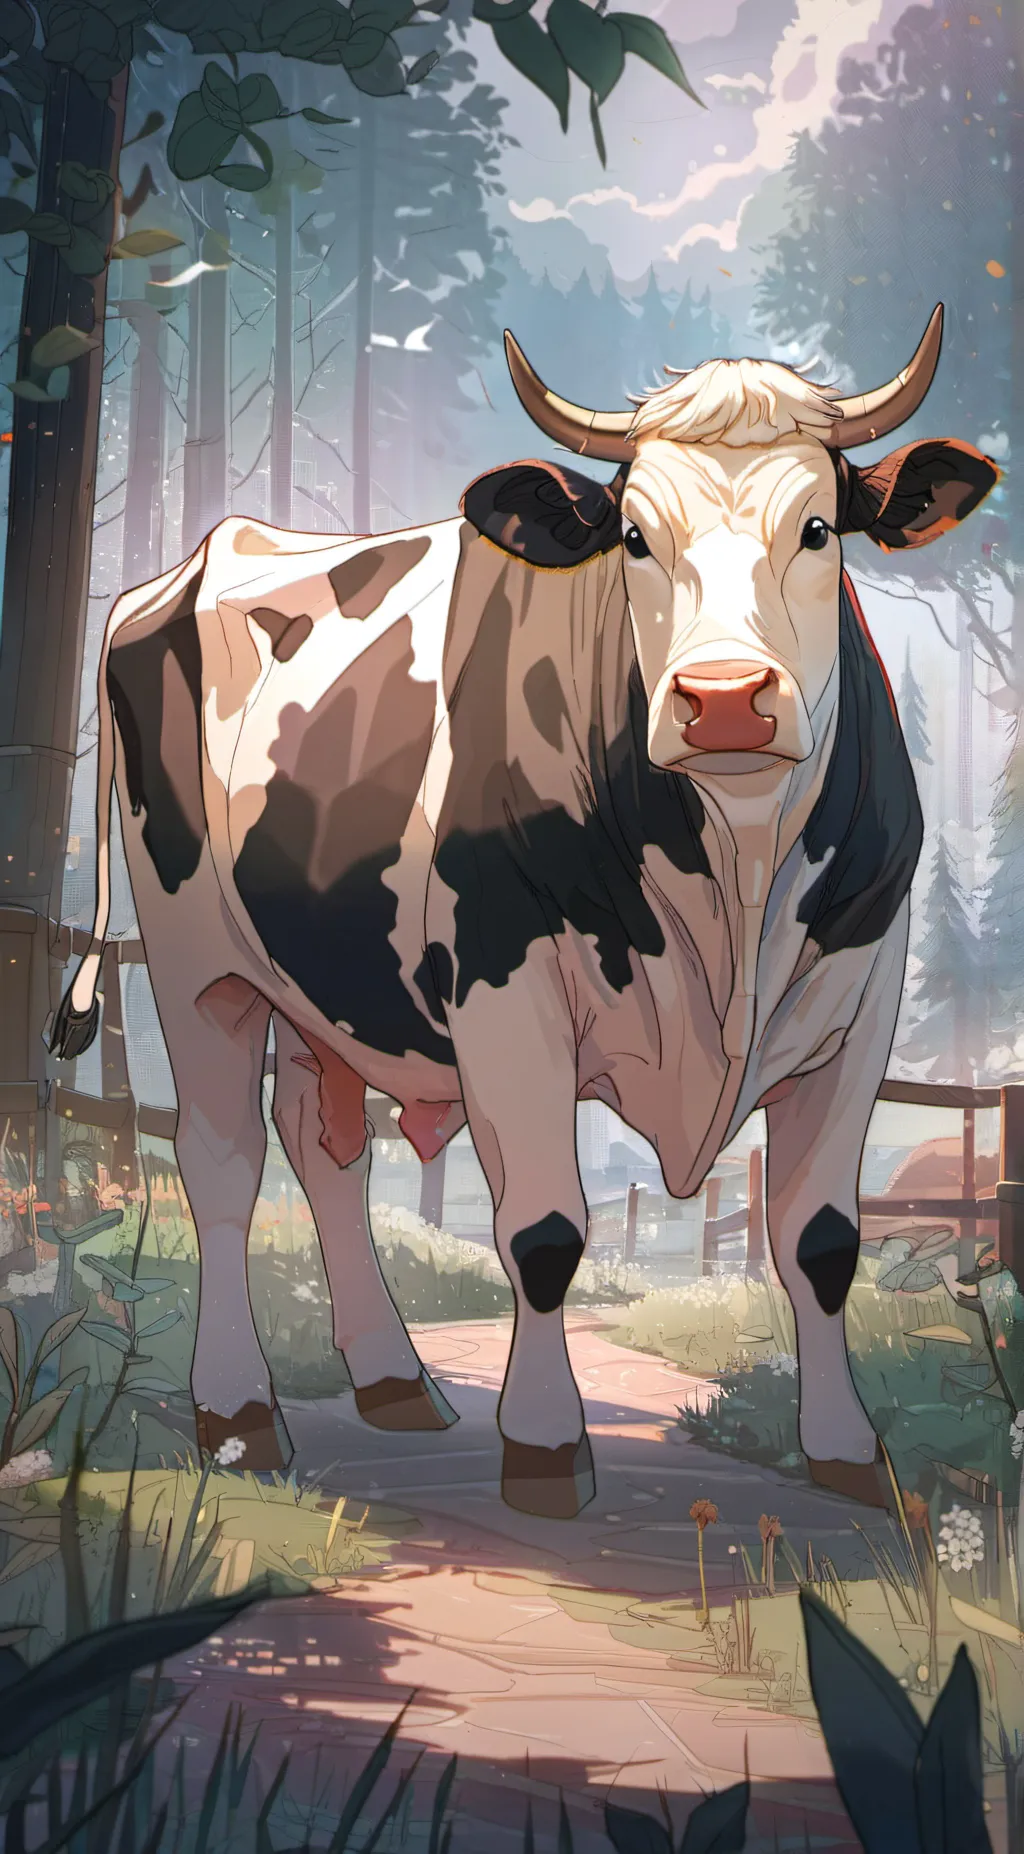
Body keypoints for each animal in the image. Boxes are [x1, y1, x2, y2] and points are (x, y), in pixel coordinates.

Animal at [51, 304, 998, 1518]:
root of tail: (194, 563)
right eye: (633, 536)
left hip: (326, 975)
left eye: (820, 527)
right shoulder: (505, 988)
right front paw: (546, 1444)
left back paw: (393, 1377)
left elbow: (821, 1239)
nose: (725, 701)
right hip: (196, 961)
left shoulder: (862, 999)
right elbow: (544, 1229)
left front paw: (848, 1452)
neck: (734, 878)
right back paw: (241, 1412)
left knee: (326, 1152)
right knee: (223, 1169)